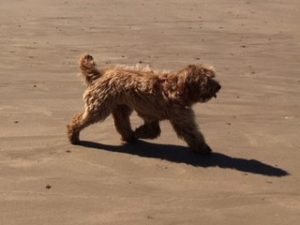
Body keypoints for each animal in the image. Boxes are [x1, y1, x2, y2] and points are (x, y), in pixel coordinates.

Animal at [68, 53, 223, 154]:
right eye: (209, 79)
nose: (219, 86)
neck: (177, 88)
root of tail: (101, 74)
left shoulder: (151, 115)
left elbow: (153, 130)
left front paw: (137, 132)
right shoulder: (180, 118)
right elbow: (192, 134)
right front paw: (203, 148)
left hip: (121, 106)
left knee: (121, 122)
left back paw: (129, 136)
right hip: (99, 107)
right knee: (78, 120)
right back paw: (73, 135)